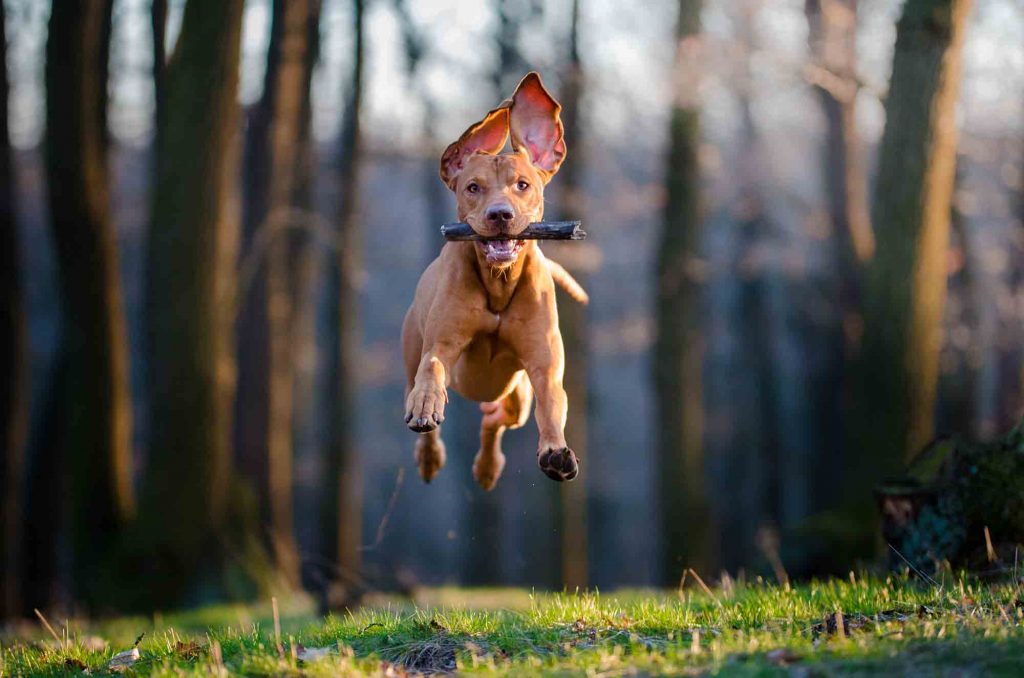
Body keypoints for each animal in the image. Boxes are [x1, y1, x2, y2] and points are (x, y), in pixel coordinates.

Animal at [403, 71, 589, 491]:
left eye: (523, 184)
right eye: (473, 187)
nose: (500, 214)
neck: (499, 283)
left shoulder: (544, 365)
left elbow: (552, 403)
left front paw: (555, 451)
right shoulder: (441, 343)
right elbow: (432, 368)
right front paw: (426, 405)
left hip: (515, 393)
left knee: (497, 418)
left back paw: (488, 466)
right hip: (412, 353)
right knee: (424, 395)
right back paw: (429, 455)